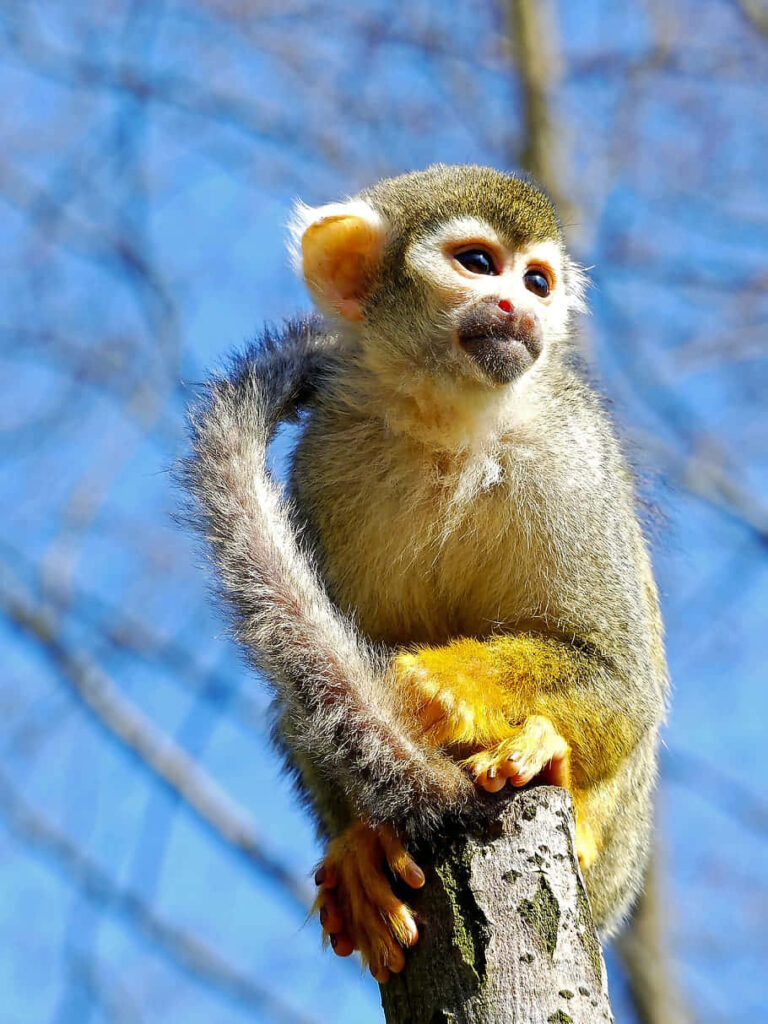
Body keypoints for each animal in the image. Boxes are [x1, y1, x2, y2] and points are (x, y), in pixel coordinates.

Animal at [184, 164, 668, 986]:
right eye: (477, 263)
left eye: (537, 281)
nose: (516, 307)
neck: (450, 421)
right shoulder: (327, 459)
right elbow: (315, 692)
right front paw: (368, 836)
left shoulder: (570, 455)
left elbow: (624, 676)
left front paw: (448, 688)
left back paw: (549, 760)